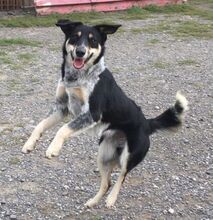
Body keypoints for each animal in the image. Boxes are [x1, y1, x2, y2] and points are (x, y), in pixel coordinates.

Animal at [21, 19, 188, 209]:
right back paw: (93, 201)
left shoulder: (92, 113)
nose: (80, 52)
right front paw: (30, 143)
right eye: (75, 37)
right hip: (103, 153)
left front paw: (53, 148)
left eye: (93, 40)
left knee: (122, 177)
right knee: (107, 182)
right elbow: (40, 125)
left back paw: (111, 199)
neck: (78, 77)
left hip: (129, 156)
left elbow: (62, 129)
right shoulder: (61, 107)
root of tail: (147, 123)